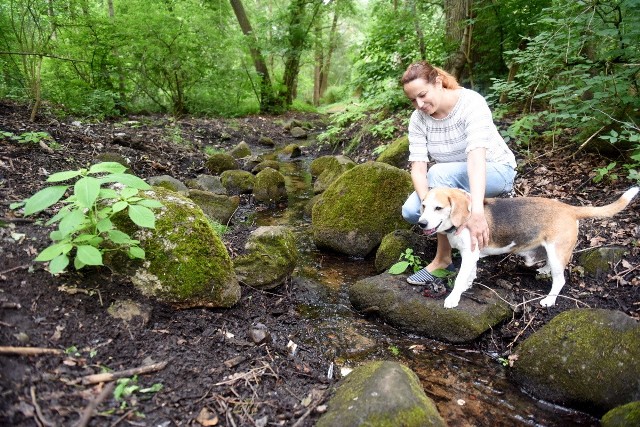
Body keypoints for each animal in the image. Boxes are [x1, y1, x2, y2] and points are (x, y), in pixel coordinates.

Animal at [418, 186, 636, 308]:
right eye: (423, 206)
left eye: (438, 208)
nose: (421, 223)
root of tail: (570, 209)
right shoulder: (471, 255)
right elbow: (469, 274)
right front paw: (467, 285)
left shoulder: (470, 254)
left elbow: (460, 278)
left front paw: (453, 298)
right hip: (550, 251)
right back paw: (544, 270)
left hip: (557, 252)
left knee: (560, 280)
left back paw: (549, 300)